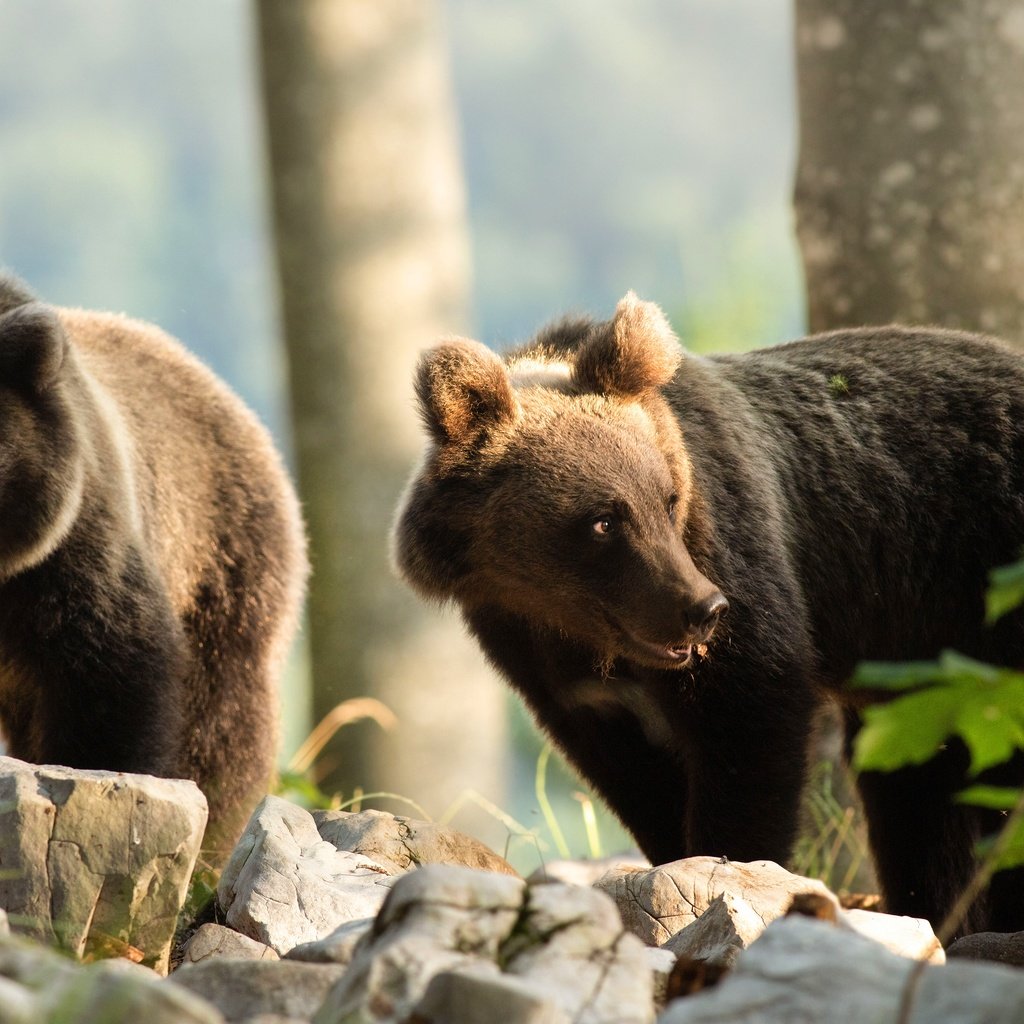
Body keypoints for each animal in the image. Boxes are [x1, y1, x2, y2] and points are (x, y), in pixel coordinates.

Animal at [393, 288, 1024, 937]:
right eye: (603, 520)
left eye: (667, 498)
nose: (704, 608)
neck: (574, 625)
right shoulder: (539, 655)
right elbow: (635, 776)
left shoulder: (733, 545)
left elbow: (750, 719)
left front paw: (732, 867)